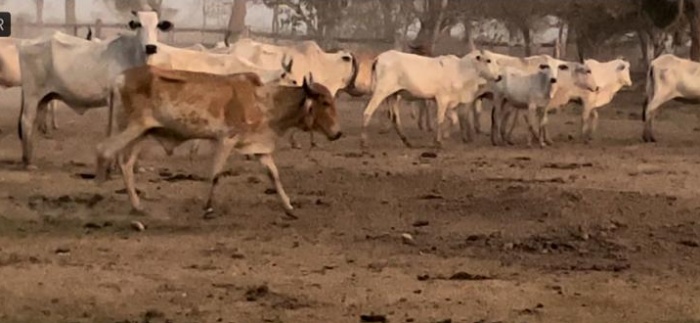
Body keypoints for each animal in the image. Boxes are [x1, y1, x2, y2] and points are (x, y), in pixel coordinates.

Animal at [16, 9, 172, 170]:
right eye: (139, 24)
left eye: (157, 25)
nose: (151, 47)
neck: (132, 55)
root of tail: (25, 43)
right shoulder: (116, 99)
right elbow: (117, 130)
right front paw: (115, 165)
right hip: (32, 94)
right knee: (26, 121)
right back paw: (28, 162)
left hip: (44, 97)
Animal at [95, 65, 342, 218]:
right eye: (325, 103)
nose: (338, 133)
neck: (265, 102)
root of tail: (119, 78)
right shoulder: (227, 139)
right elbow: (215, 175)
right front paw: (208, 208)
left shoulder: (259, 147)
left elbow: (274, 175)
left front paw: (289, 207)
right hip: (132, 128)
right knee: (104, 150)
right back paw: (98, 194)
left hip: (141, 133)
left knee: (126, 164)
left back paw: (137, 206)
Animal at [360, 49, 504, 149]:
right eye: (488, 60)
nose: (499, 76)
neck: (461, 70)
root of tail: (378, 58)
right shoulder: (442, 99)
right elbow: (440, 120)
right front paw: (438, 142)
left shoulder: (447, 102)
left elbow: (454, 120)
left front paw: (443, 137)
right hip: (381, 91)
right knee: (367, 112)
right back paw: (364, 142)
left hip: (393, 95)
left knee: (395, 118)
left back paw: (408, 142)